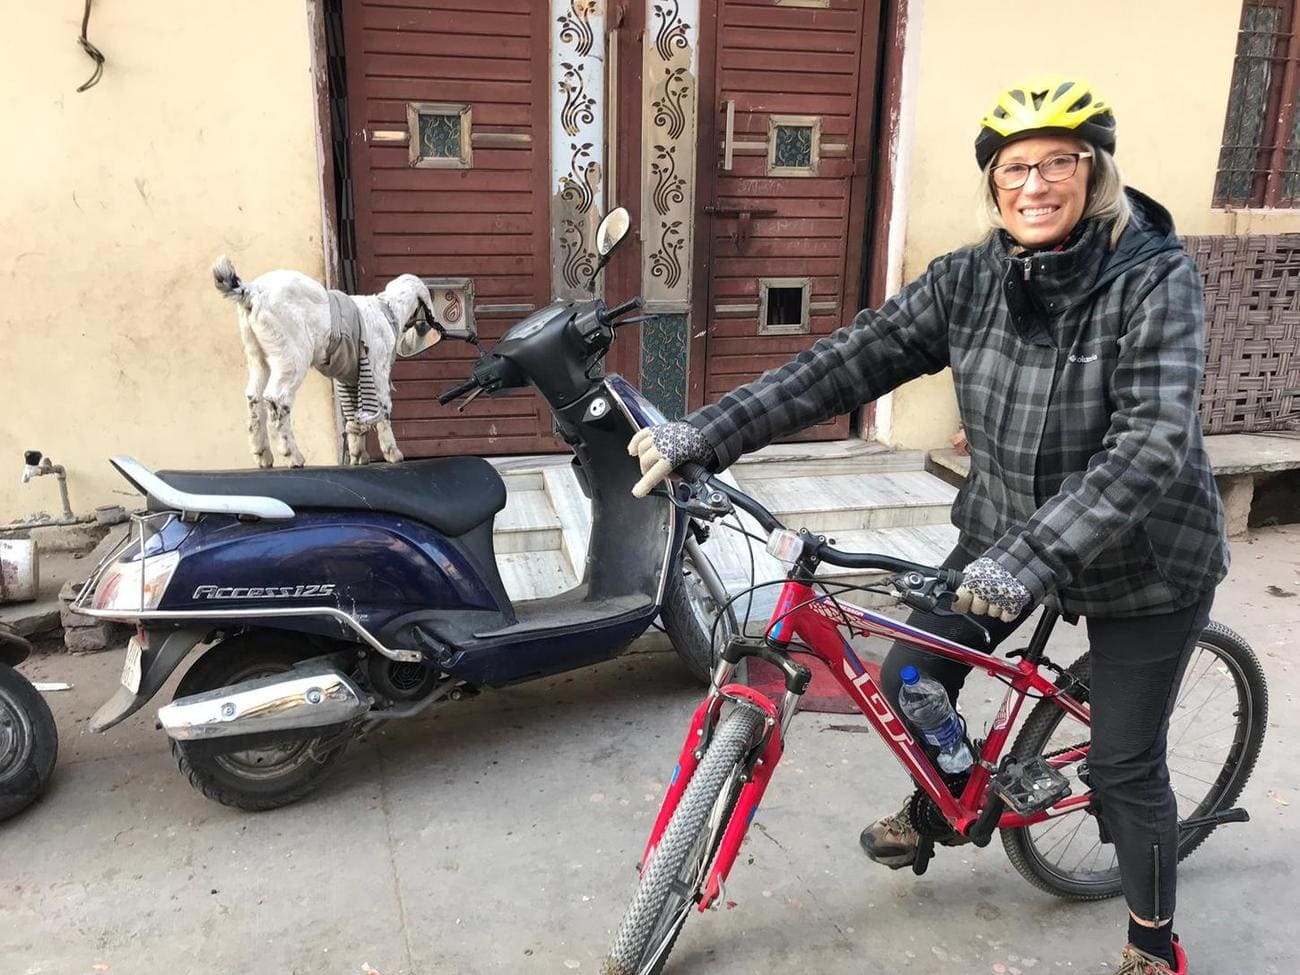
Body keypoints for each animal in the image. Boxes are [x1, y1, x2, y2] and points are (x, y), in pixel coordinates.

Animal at [210, 257, 439, 470]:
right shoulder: (377, 372)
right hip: (292, 355)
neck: (387, 309)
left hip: (258, 356)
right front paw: (393, 454)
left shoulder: (349, 378)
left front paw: (358, 456)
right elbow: (383, 410)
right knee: (277, 399)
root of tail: (252, 292)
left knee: (254, 398)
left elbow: (353, 417)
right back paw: (293, 456)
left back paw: (263, 455)